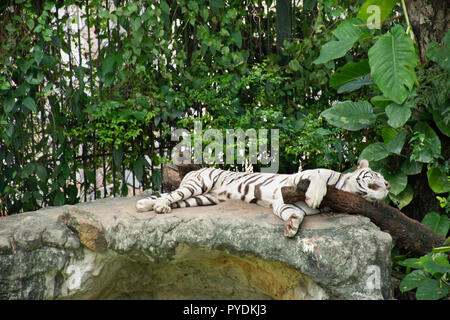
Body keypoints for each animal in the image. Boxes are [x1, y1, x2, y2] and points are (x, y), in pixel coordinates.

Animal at [136, 160, 390, 238]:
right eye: (377, 174)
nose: (388, 184)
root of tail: (192, 170)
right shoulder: (300, 178)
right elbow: (318, 179)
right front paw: (315, 196)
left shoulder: (284, 202)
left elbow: (294, 213)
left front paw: (291, 227)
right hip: (200, 184)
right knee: (171, 195)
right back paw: (157, 206)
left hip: (204, 198)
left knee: (173, 198)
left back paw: (144, 204)